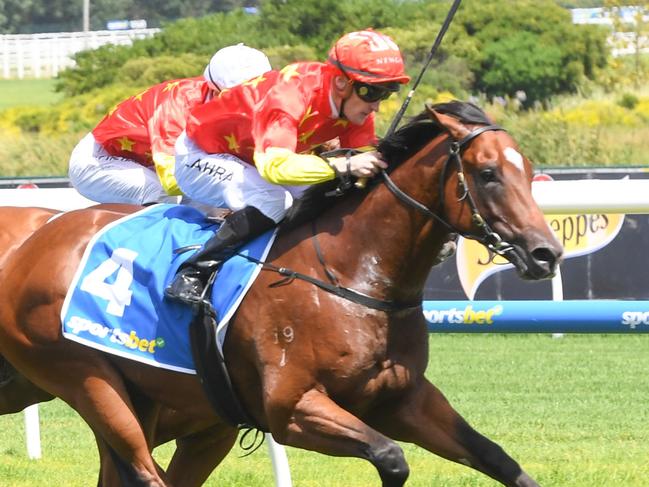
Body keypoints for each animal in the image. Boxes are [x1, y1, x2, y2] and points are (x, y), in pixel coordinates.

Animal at [0, 101, 560, 486]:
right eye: (487, 174)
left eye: (531, 173)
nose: (546, 253)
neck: (352, 275)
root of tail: (33, 246)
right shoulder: (292, 409)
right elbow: (391, 457)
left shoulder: (404, 399)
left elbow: (497, 458)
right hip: (87, 380)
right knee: (144, 471)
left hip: (175, 410)